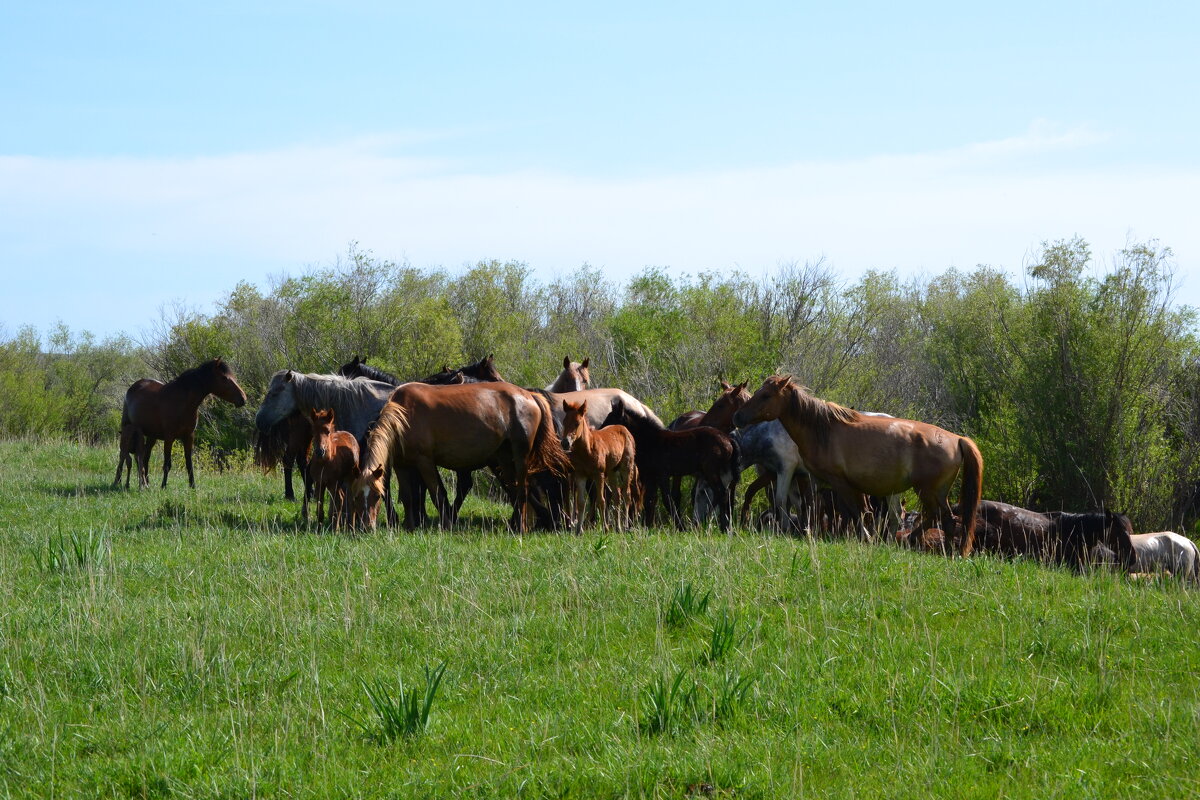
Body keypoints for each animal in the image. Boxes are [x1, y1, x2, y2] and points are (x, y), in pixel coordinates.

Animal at [115, 359, 249, 491]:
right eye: (224, 378)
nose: (243, 398)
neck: (183, 403)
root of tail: (134, 386)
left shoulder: (189, 437)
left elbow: (189, 464)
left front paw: (193, 486)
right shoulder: (169, 438)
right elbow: (167, 464)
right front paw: (163, 486)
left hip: (151, 436)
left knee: (144, 458)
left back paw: (146, 483)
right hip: (127, 431)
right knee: (124, 456)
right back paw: (119, 481)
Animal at [350, 383, 571, 532]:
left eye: (377, 496)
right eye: (357, 496)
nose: (366, 526)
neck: (404, 415)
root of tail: (530, 395)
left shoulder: (425, 461)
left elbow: (437, 494)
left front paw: (447, 525)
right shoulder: (402, 465)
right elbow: (407, 496)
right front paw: (409, 526)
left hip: (520, 455)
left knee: (523, 489)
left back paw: (521, 528)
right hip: (504, 458)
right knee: (515, 489)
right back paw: (514, 525)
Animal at [559, 398, 638, 532]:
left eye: (577, 423)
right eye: (564, 422)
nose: (565, 443)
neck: (588, 449)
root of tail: (625, 429)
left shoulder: (599, 474)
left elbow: (601, 500)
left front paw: (605, 528)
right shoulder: (580, 475)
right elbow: (581, 502)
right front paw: (578, 530)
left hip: (626, 467)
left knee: (626, 494)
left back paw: (625, 526)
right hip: (612, 471)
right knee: (617, 496)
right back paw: (618, 528)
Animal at [604, 398, 734, 532]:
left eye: (612, 420)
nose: (602, 431)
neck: (651, 441)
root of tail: (728, 440)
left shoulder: (662, 475)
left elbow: (666, 500)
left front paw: (680, 527)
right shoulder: (651, 476)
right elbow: (649, 500)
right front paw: (647, 526)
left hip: (711, 471)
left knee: (722, 493)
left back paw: (722, 527)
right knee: (721, 494)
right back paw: (714, 525)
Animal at [729, 376, 984, 556]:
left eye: (766, 395)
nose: (738, 417)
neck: (823, 429)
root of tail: (957, 439)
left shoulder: (838, 482)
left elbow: (854, 511)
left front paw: (866, 538)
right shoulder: (816, 480)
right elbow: (819, 508)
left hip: (927, 491)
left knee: (944, 519)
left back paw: (946, 551)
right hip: (933, 492)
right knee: (936, 516)